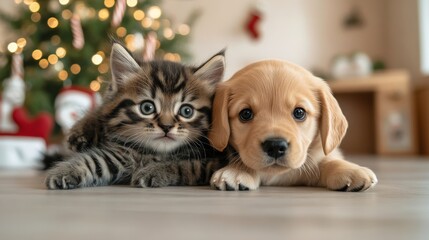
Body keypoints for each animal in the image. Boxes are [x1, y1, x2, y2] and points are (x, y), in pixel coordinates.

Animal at [45, 43, 227, 189]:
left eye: (186, 111)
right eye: (147, 107)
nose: (166, 126)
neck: (157, 153)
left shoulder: (211, 161)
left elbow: (184, 165)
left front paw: (154, 171)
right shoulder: (121, 153)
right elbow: (94, 161)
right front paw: (65, 170)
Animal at [209, 60, 376, 191]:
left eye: (299, 112)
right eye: (246, 114)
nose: (275, 146)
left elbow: (328, 160)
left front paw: (350, 170)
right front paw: (238, 171)